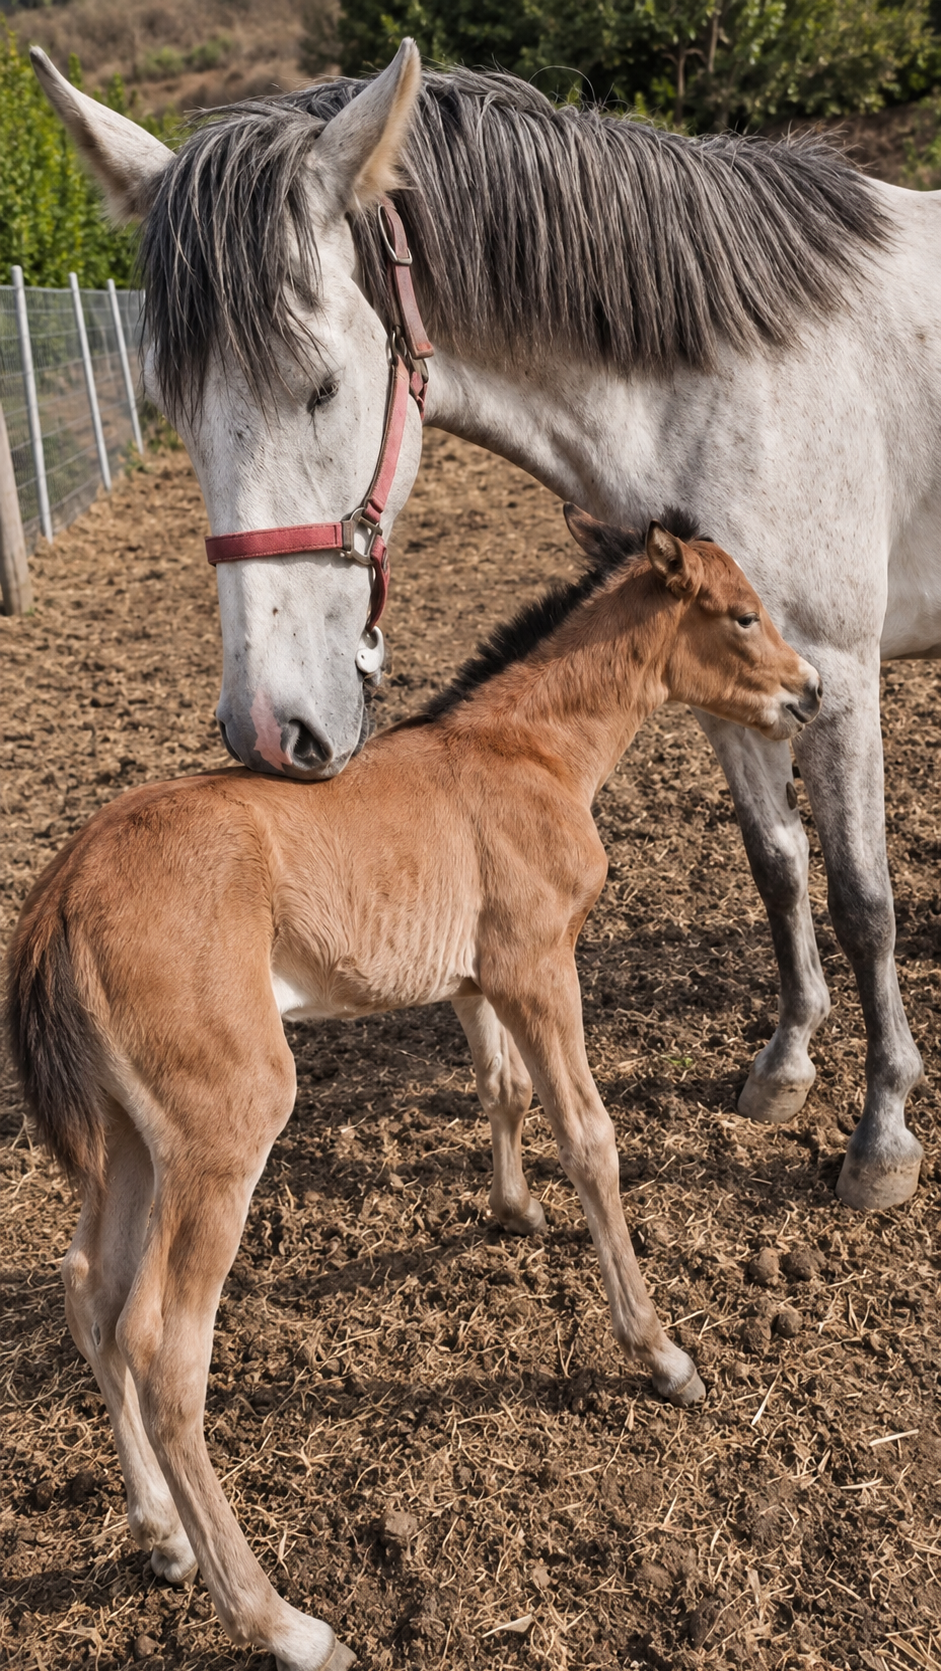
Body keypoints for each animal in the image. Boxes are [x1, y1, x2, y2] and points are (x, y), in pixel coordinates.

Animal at [6, 511, 820, 1670]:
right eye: (742, 613)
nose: (808, 694)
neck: (526, 753)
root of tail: (60, 894)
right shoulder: (536, 964)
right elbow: (589, 1134)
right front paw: (660, 1353)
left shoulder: (474, 979)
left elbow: (498, 1087)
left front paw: (513, 1212)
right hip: (222, 1126)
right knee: (162, 1347)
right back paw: (282, 1621)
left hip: (125, 1134)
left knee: (89, 1289)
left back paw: (160, 1535)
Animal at [29, 46, 937, 1217]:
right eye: (172, 408)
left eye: (322, 386)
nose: (271, 731)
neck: (732, 375)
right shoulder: (733, 685)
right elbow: (777, 868)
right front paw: (783, 1069)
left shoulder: (832, 672)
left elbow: (863, 899)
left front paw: (881, 1134)